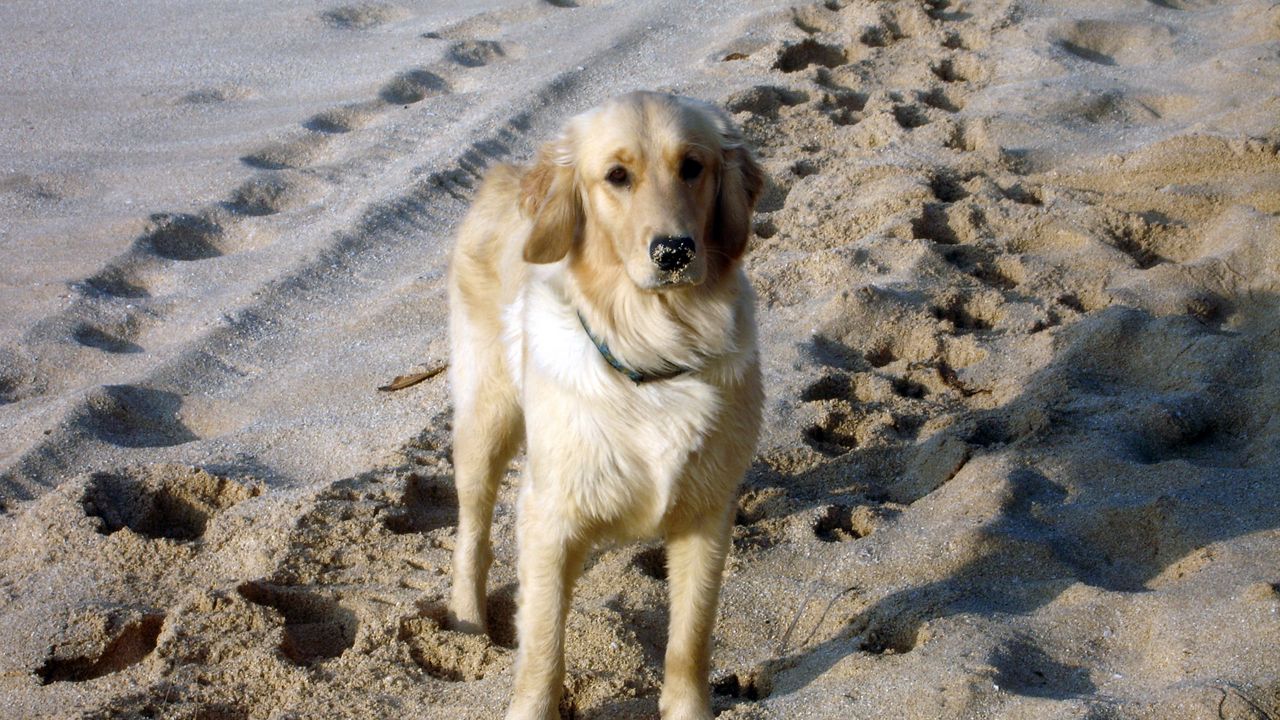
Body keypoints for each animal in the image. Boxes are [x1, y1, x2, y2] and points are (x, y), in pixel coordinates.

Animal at [450, 90, 762, 717]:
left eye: (693, 166)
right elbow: (543, 645)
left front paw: (688, 709)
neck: (655, 346)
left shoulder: (708, 512)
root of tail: (505, 175)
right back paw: (468, 620)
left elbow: (690, 635)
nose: (674, 251)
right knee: (472, 530)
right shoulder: (548, 516)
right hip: (485, 418)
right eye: (617, 176)